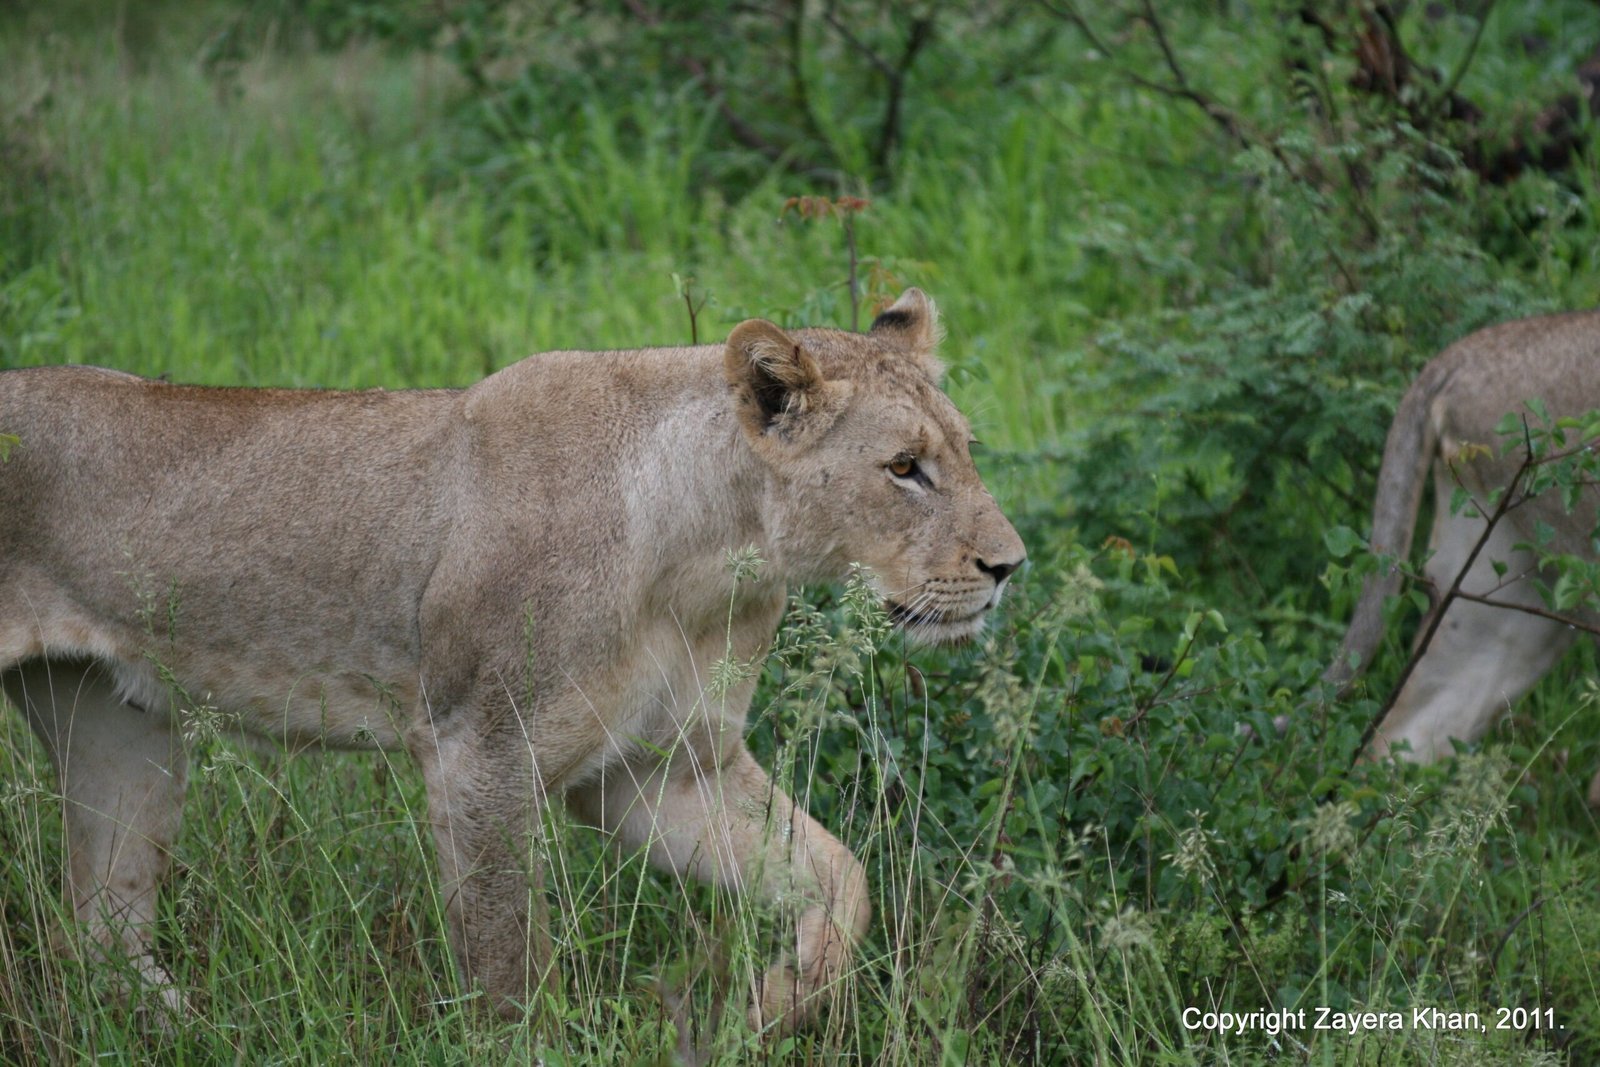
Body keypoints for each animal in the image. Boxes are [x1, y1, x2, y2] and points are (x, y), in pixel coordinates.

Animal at [0, 288, 1025, 1033]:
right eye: (903, 468)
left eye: (965, 451)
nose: (1008, 566)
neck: (713, 554)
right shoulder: (482, 755)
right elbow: (507, 968)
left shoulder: (657, 769)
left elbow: (843, 876)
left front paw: (767, 1004)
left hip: (117, 733)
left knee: (100, 933)